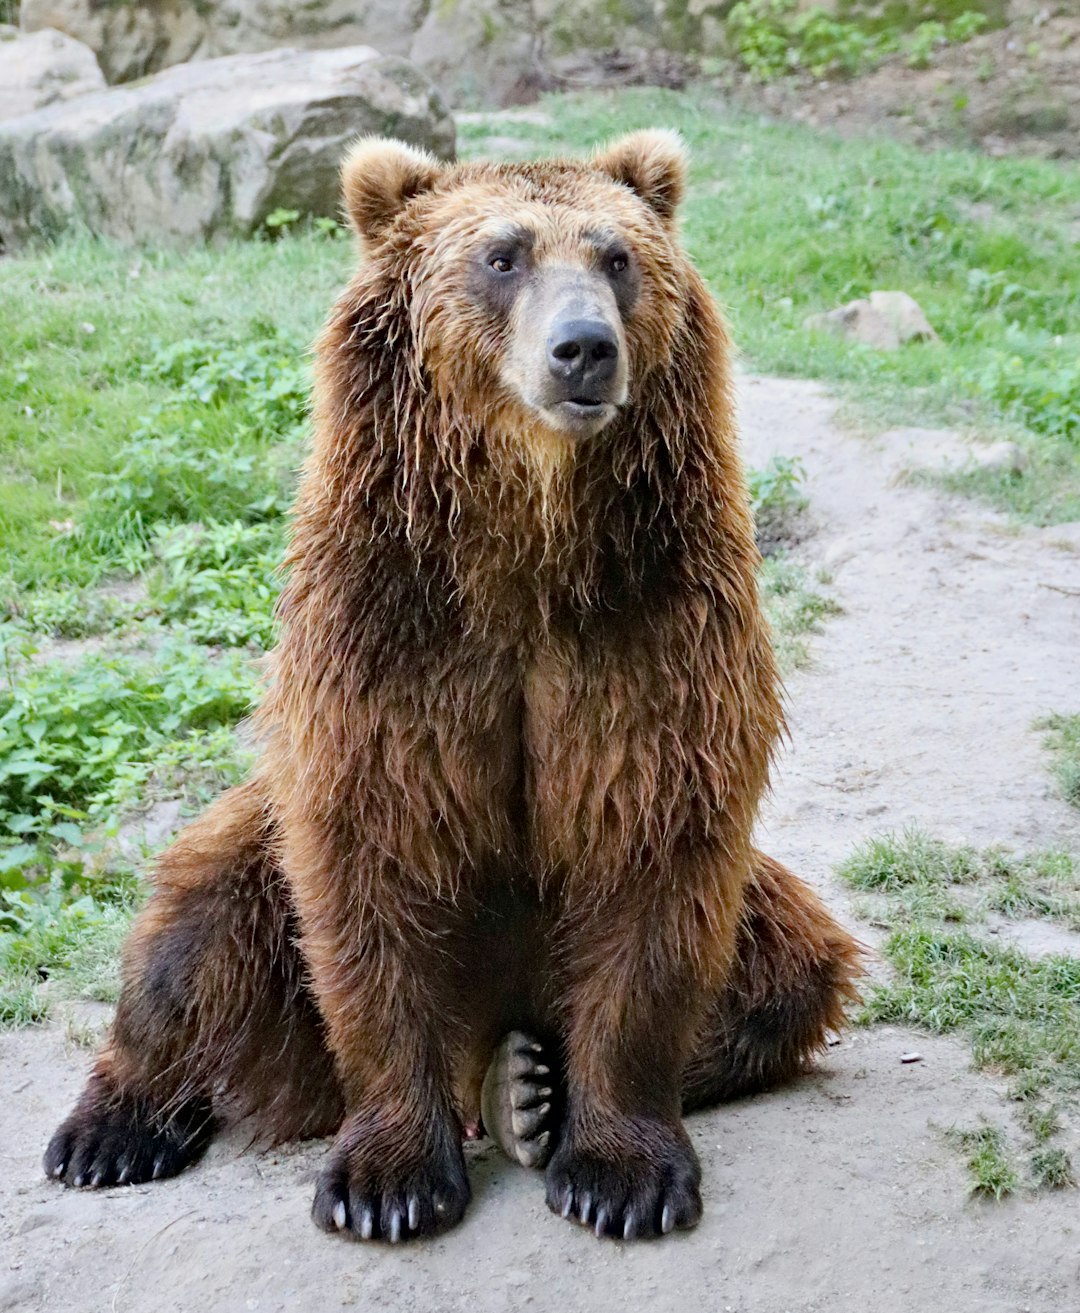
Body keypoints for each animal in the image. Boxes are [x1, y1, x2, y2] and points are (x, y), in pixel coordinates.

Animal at [46, 128, 866, 1244]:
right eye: (503, 255)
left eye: (616, 255)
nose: (583, 348)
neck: (526, 540)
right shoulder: (390, 634)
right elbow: (373, 864)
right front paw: (389, 1182)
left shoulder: (652, 623)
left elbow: (654, 856)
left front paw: (620, 1174)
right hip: (258, 853)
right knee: (191, 931)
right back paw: (112, 1130)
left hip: (754, 911)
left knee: (791, 967)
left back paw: (526, 1088)